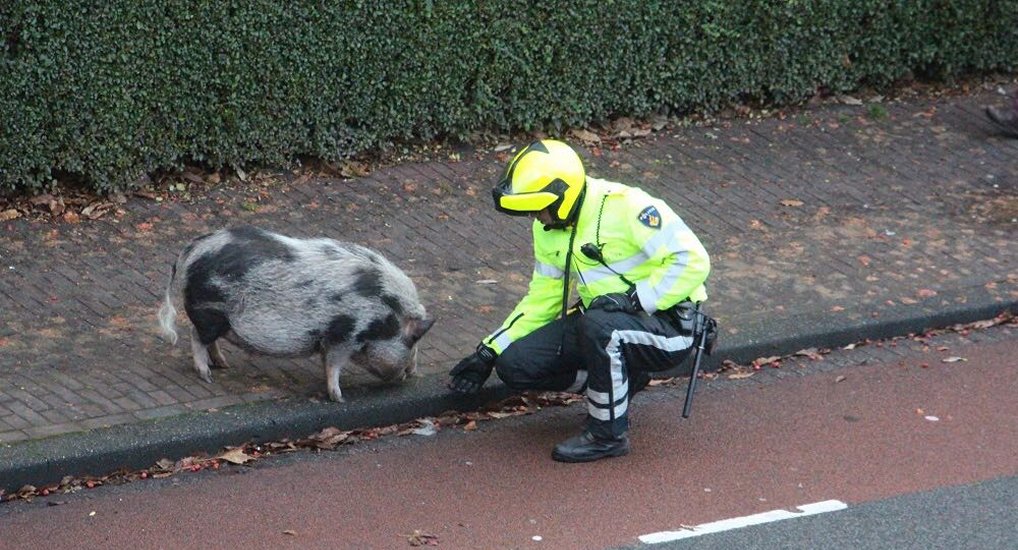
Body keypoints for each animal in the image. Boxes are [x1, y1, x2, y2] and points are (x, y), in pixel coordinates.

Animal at [156, 225, 435, 401]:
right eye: (413, 340)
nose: (410, 374)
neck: (384, 317)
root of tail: (190, 251)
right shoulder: (342, 335)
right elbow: (334, 365)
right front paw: (338, 398)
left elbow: (326, 362)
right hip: (209, 312)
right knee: (195, 335)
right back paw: (207, 376)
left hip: (219, 319)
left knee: (209, 340)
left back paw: (223, 364)